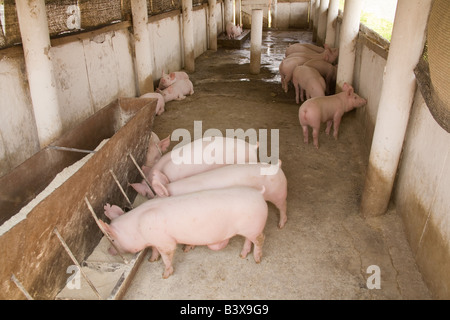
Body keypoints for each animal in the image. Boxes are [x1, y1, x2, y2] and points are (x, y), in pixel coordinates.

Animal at [99, 186, 268, 278]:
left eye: (112, 239)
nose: (108, 250)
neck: (137, 227)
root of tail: (259, 194)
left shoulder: (166, 242)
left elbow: (167, 256)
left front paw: (165, 275)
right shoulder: (154, 241)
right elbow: (154, 250)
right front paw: (151, 260)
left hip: (254, 228)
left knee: (261, 239)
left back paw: (257, 260)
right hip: (249, 228)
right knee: (249, 240)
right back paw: (243, 255)